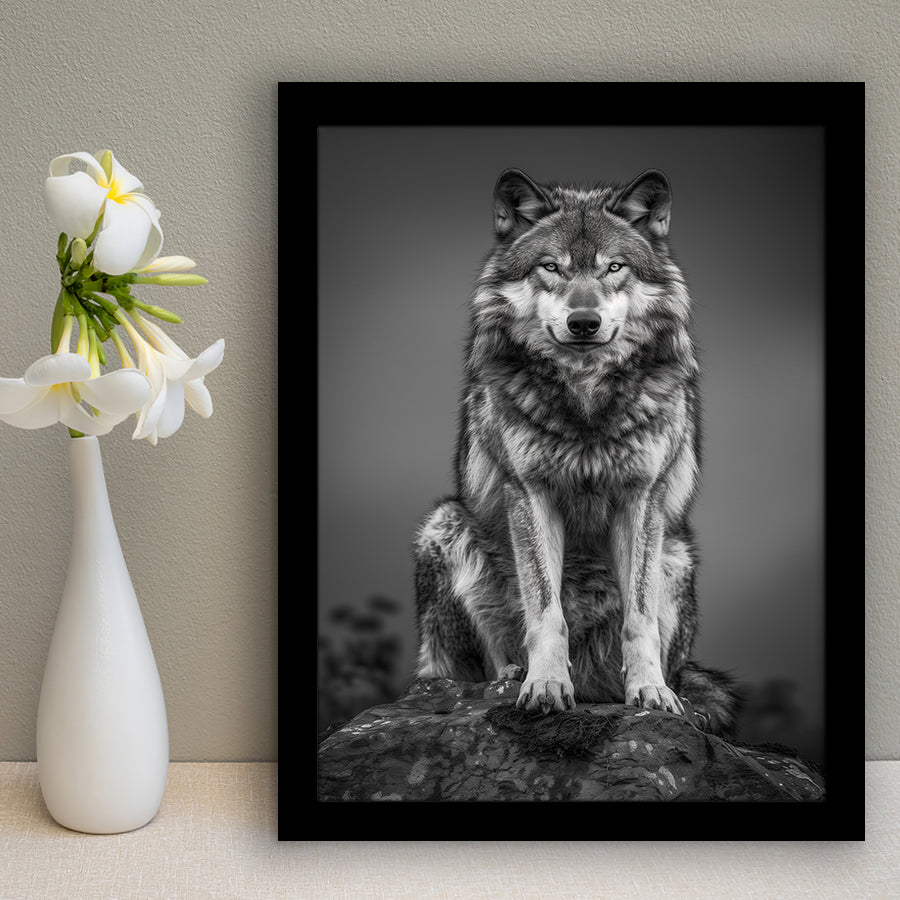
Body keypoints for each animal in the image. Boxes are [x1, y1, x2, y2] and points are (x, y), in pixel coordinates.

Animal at [413, 167, 738, 737]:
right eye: (551, 267)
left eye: (614, 267)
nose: (583, 322)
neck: (585, 398)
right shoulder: (530, 493)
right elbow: (546, 611)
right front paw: (544, 686)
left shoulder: (642, 498)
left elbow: (639, 617)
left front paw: (650, 692)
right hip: (445, 524)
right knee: (464, 668)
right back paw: (511, 677)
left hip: (677, 557)